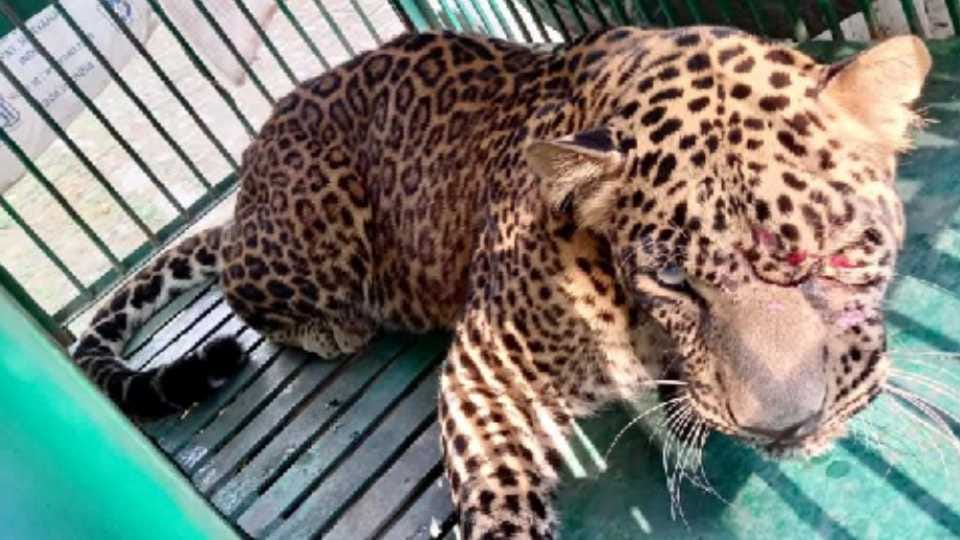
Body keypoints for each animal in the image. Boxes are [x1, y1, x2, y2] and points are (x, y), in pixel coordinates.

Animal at [72, 25, 931, 539]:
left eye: (839, 252)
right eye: (672, 279)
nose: (786, 427)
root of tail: (249, 175)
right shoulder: (485, 372)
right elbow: (500, 500)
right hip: (317, 224)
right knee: (242, 285)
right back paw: (328, 326)